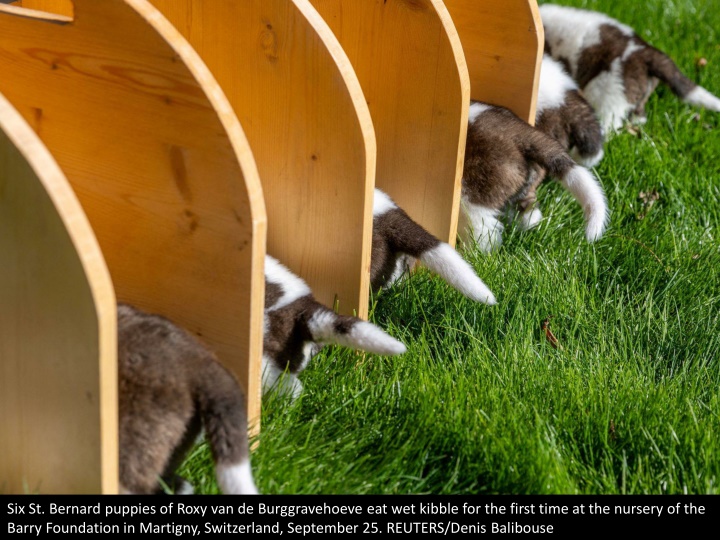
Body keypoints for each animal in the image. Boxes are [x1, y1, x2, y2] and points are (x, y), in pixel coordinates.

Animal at [462, 100, 608, 249]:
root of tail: (522, 132)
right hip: (523, 182)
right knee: (530, 212)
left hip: (474, 193)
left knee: (484, 230)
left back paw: (477, 252)